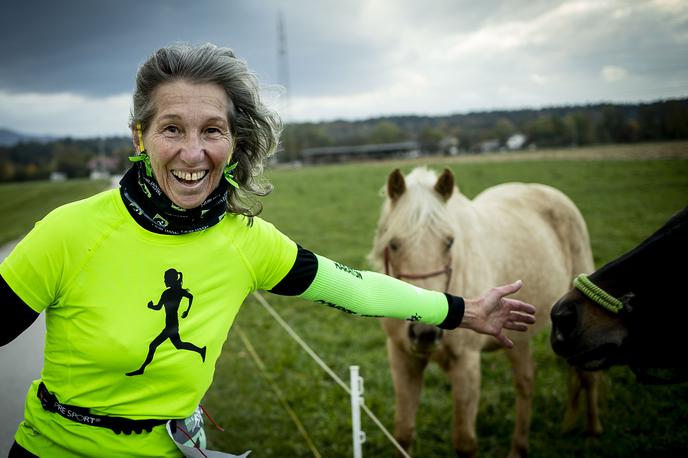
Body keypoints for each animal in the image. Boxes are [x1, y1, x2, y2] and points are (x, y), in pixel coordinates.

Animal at [368, 168, 600, 458]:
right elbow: (403, 433)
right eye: (394, 243)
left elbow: (464, 442)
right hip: (518, 337)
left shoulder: (466, 363)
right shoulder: (403, 358)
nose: (425, 333)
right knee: (526, 382)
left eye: (449, 242)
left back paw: (592, 435)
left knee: (587, 376)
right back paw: (522, 447)